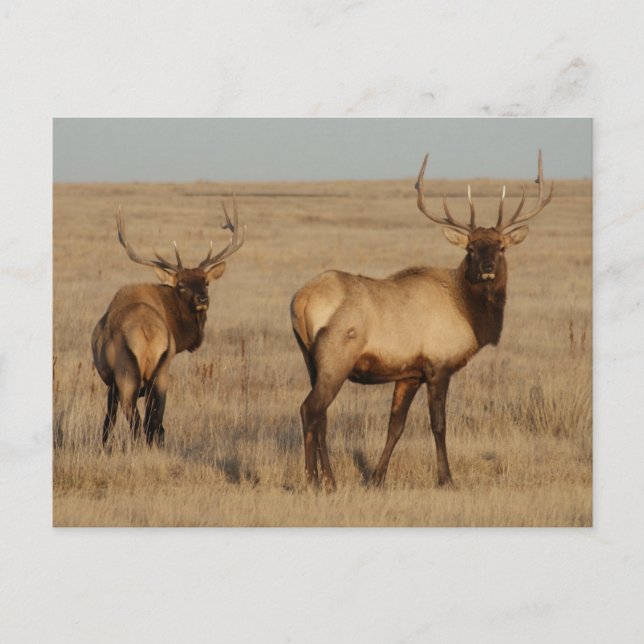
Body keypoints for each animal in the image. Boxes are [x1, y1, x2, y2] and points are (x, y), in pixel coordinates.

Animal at [91, 197, 245, 447]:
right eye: (181, 285)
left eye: (206, 282)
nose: (203, 299)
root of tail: (146, 333)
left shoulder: (112, 382)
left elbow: (108, 422)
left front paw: (104, 447)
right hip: (161, 372)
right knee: (154, 421)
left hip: (127, 374)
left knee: (136, 420)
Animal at [290, 152, 553, 490]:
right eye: (470, 247)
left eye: (501, 246)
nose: (487, 266)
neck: (468, 313)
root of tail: (300, 301)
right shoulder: (438, 365)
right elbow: (438, 424)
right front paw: (446, 478)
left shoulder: (409, 374)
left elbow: (396, 426)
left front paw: (376, 478)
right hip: (336, 358)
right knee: (310, 409)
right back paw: (313, 480)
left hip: (310, 359)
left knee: (321, 415)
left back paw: (330, 480)